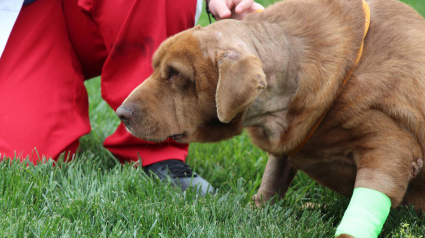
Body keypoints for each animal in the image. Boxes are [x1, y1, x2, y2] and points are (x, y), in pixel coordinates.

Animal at [116, 0, 424, 236]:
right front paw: (256, 211)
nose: (121, 114)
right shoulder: (286, 144)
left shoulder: (388, 146)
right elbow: (271, 180)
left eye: (176, 74)